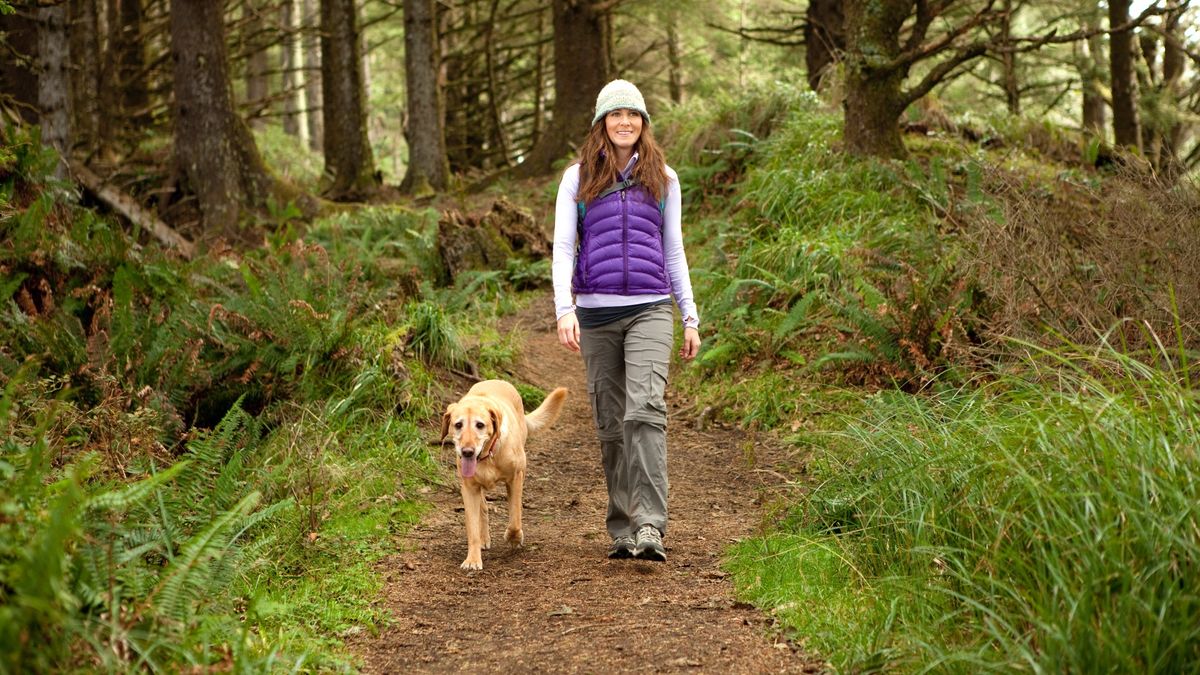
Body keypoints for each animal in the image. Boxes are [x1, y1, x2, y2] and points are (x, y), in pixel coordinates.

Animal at [444, 379, 568, 566]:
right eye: (458, 425)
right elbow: (472, 528)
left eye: (480, 425)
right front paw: (472, 559)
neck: (488, 456)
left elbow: (515, 518)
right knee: (483, 508)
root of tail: (496, 380)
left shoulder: (516, 478)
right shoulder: (469, 488)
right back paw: (484, 538)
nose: (467, 452)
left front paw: (514, 538)